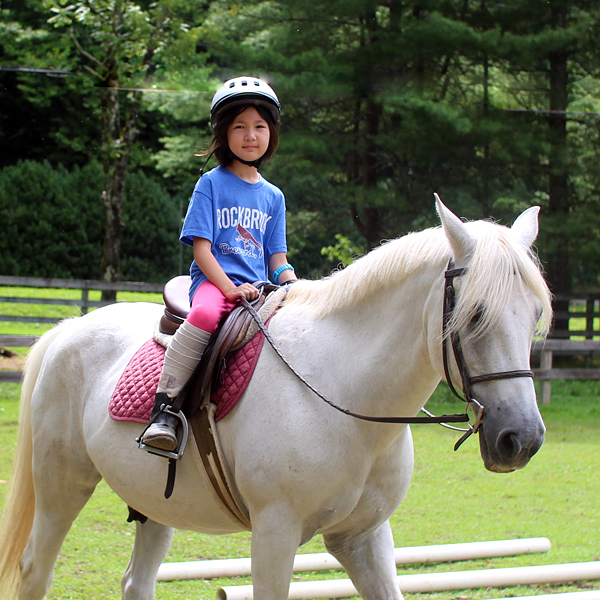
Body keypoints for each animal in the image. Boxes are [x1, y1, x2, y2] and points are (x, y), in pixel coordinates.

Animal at [0, 202, 552, 600]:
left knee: (136, 583)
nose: (520, 438)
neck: (345, 394)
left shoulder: (364, 538)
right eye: (475, 314)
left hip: (155, 504)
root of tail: (71, 329)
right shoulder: (274, 535)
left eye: (535, 314)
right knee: (34, 572)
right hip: (62, 487)